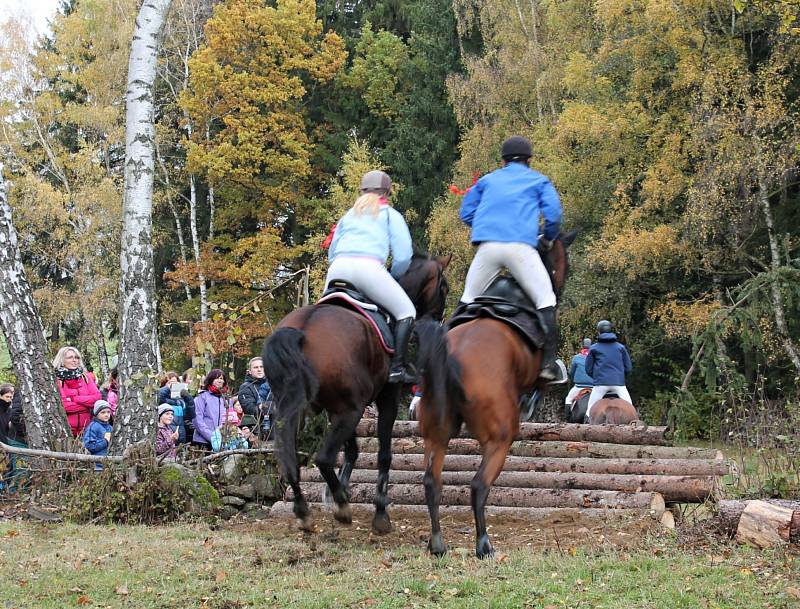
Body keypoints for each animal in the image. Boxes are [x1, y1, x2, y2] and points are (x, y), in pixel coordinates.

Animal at [262, 252, 450, 532]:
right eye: (443, 287)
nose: (439, 320)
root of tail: (303, 328)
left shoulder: (337, 409)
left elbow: (352, 451)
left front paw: (339, 489)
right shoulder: (384, 399)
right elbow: (384, 455)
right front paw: (379, 512)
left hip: (297, 409)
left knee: (290, 458)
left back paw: (305, 508)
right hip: (350, 410)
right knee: (324, 458)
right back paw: (340, 505)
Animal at [416, 230, 580, 560]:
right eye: (564, 262)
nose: (561, 284)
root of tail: (450, 356)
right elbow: (542, 384)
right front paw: (534, 398)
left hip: (435, 433)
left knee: (431, 481)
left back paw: (437, 543)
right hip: (499, 438)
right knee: (479, 485)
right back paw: (484, 545)